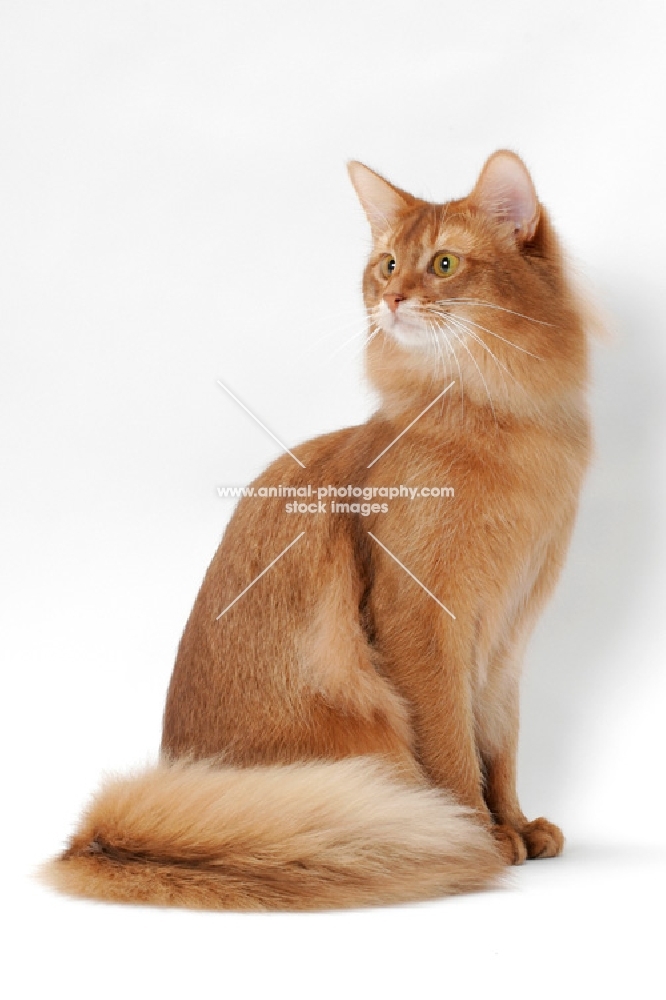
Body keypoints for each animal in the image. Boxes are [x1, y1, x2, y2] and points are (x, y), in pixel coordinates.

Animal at [44, 150, 588, 916]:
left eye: (444, 264)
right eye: (387, 266)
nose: (394, 300)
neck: (499, 423)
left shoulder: (510, 634)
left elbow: (499, 741)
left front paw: (515, 821)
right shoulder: (422, 620)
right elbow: (453, 742)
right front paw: (478, 833)